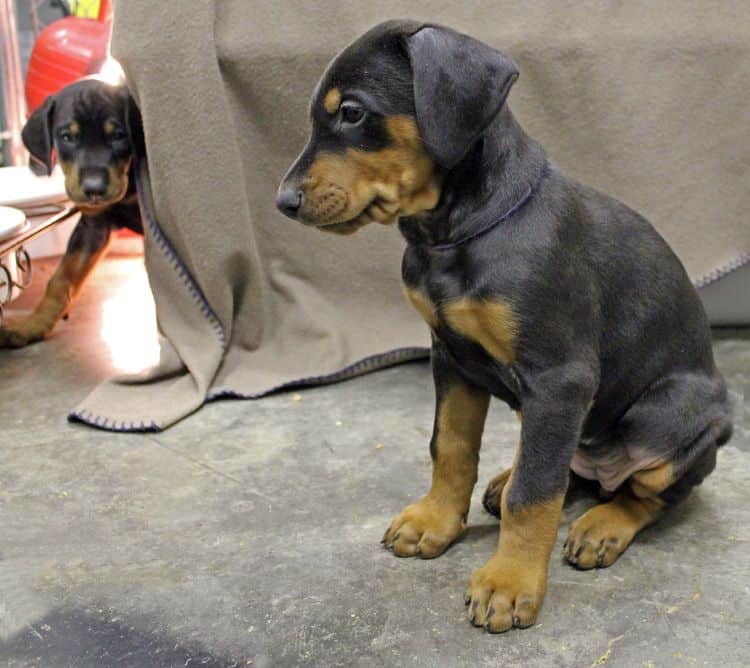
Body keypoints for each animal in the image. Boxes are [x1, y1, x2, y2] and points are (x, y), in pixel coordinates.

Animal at [0, 77, 145, 350]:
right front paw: (30, 327)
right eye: (67, 136)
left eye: (118, 136)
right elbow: (61, 279)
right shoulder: (94, 226)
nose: (94, 189)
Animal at [278, 20, 736, 636]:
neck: (458, 233)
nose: (284, 201)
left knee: (646, 492)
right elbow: (450, 446)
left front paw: (510, 583)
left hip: (666, 416)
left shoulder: (560, 378)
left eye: (352, 112)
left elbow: (536, 493)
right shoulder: (451, 358)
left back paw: (602, 526)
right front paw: (435, 522)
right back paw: (511, 478)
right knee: (567, 469)